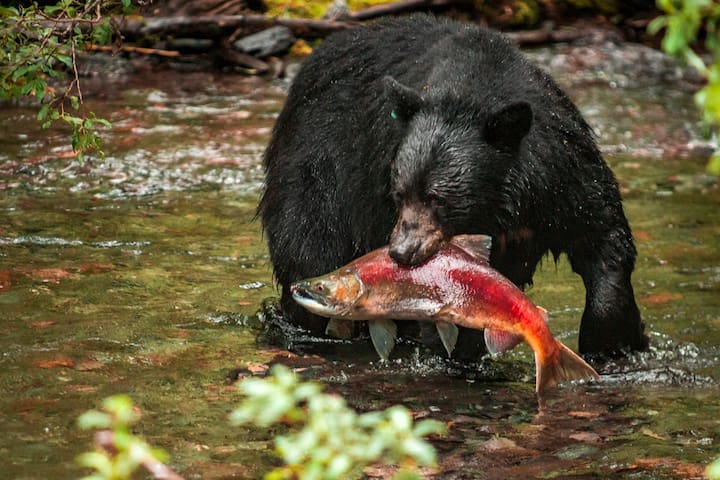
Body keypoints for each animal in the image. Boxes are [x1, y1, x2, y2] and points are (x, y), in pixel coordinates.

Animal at [258, 13, 648, 358]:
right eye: (399, 193)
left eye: (438, 198)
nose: (401, 252)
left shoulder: (561, 169)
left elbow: (602, 236)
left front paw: (614, 342)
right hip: (317, 172)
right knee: (308, 245)